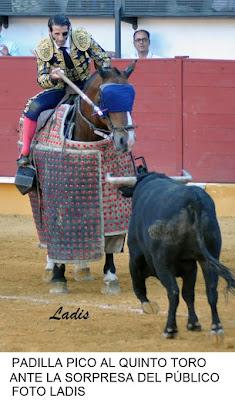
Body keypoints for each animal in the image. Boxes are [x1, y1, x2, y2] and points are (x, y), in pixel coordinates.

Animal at [42, 61, 137, 294]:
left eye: (131, 97)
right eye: (104, 99)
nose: (126, 140)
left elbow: (110, 236)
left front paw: (110, 277)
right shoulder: (58, 193)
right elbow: (59, 228)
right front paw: (58, 277)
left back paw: (82, 267)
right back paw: (51, 267)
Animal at [123, 172, 235, 338]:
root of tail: (194, 200)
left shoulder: (135, 254)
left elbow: (138, 282)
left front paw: (148, 305)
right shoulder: (191, 266)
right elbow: (188, 294)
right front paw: (193, 323)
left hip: (162, 263)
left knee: (173, 292)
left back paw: (169, 329)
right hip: (209, 258)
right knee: (211, 289)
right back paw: (216, 326)